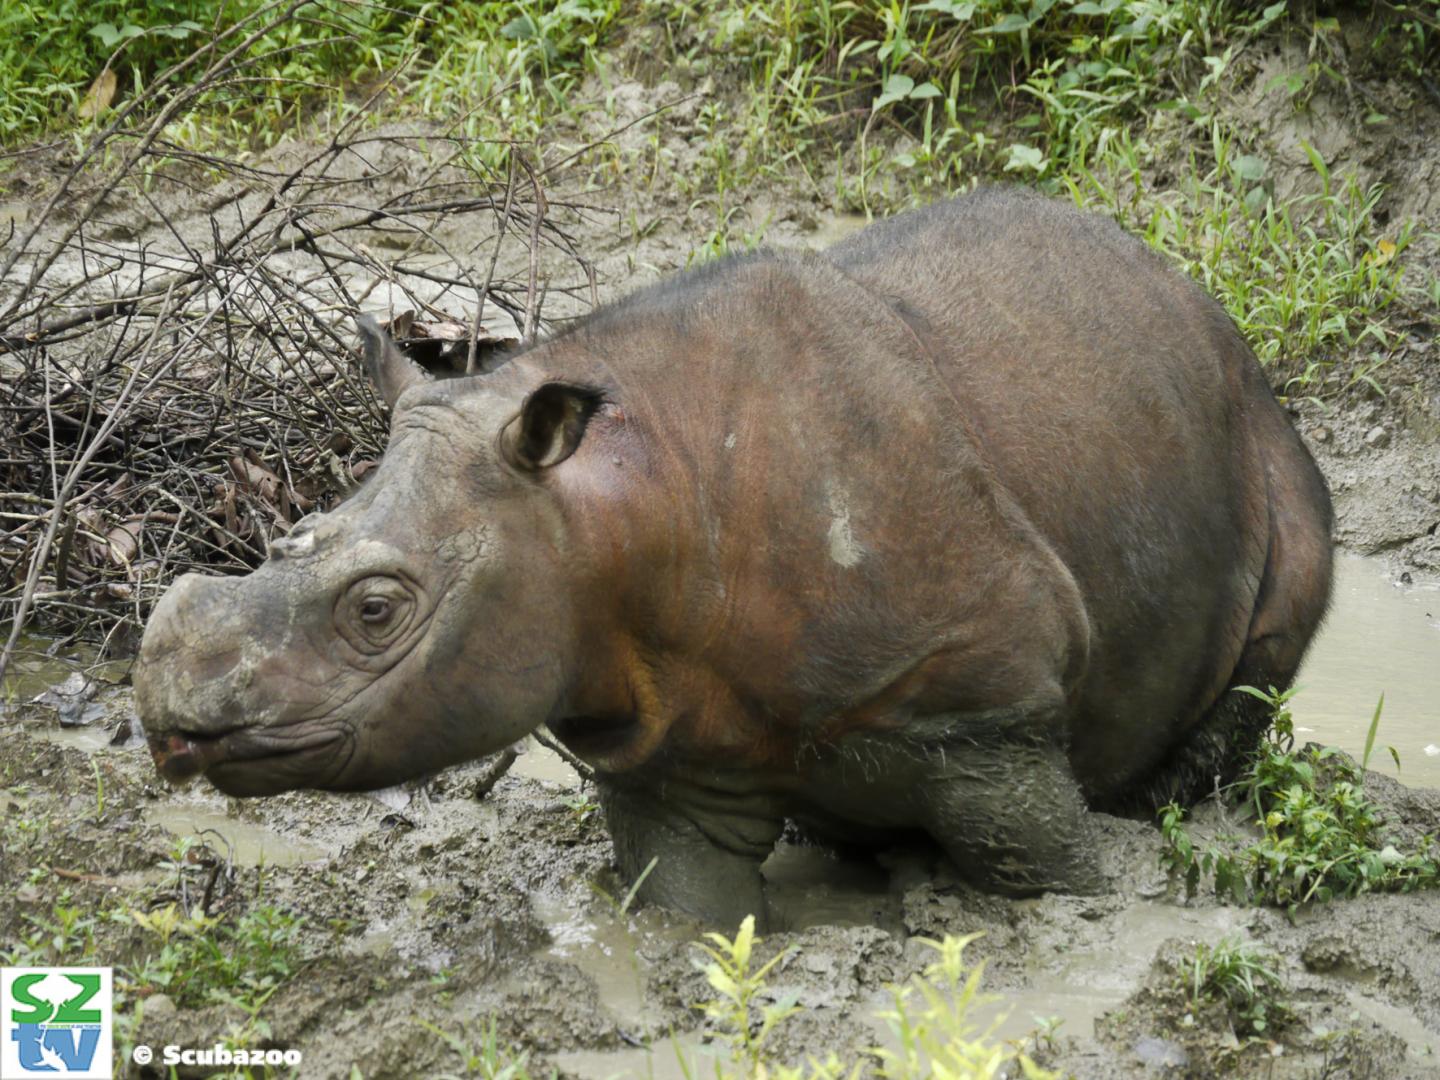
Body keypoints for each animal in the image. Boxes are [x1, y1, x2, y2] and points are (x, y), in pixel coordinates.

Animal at [135, 189, 1333, 926]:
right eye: (280, 545)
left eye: (377, 609)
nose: (169, 722)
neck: (607, 508)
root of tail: (1193, 294)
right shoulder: (666, 750)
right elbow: (688, 913)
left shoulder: (990, 706)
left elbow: (1050, 873)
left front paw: (1090, 907)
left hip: (1259, 445)